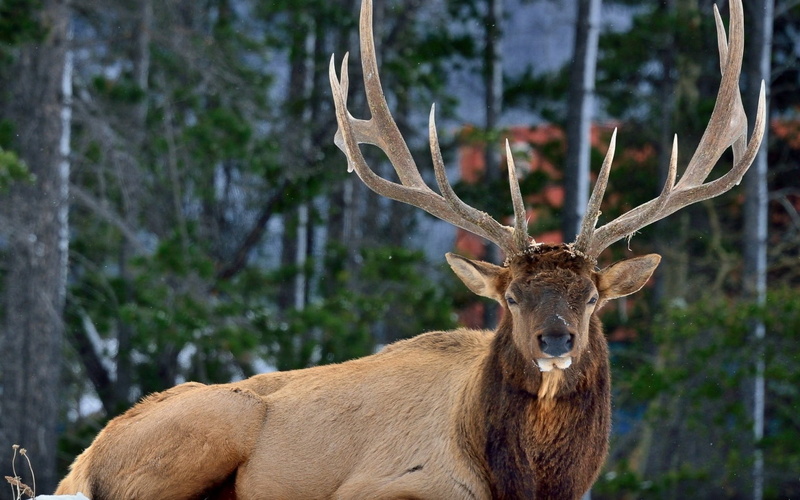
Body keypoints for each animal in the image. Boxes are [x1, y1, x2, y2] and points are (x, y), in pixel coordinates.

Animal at [55, 0, 764, 498]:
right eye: (511, 298)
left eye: (592, 297)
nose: (556, 338)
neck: (526, 482)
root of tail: (81, 462)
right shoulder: (383, 485)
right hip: (208, 429)